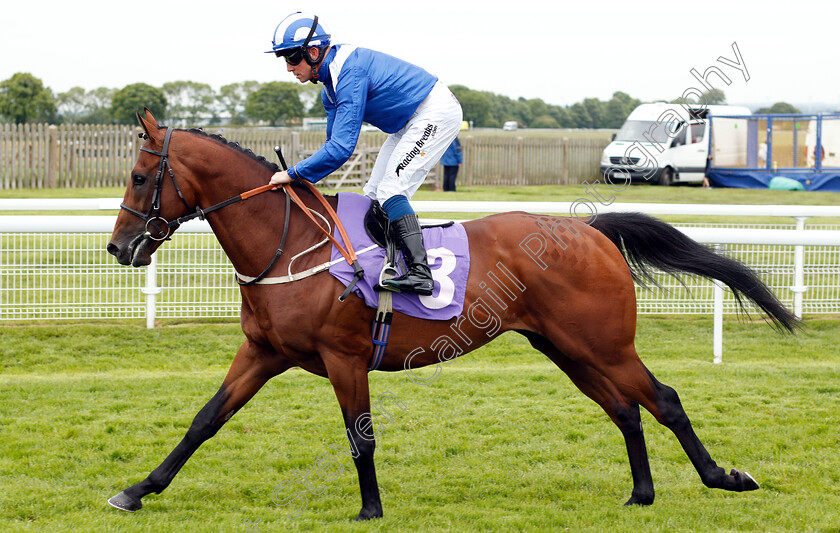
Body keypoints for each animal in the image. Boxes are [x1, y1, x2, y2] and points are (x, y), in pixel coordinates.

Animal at [108, 109, 796, 520]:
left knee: (665, 399)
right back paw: (642, 493)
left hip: (604, 345)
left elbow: (360, 437)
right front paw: (137, 490)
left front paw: (370, 510)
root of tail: (590, 230)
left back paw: (724, 478)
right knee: (627, 409)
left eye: (140, 177)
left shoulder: (344, 357)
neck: (290, 244)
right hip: (566, 348)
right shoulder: (264, 352)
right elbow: (204, 420)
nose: (118, 248)